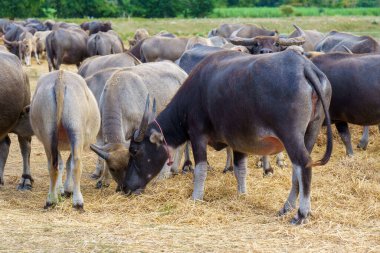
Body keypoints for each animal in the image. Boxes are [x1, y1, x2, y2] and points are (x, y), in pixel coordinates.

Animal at [29, 69, 100, 210]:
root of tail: (60, 77)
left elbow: (61, 164)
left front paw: (60, 189)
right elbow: (68, 163)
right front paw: (66, 189)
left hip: (48, 131)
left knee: (53, 165)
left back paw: (51, 200)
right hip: (76, 129)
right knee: (76, 163)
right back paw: (78, 201)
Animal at [89, 62, 190, 191]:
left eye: (128, 165)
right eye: (112, 168)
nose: (124, 187)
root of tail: (182, 72)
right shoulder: (101, 135)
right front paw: (103, 180)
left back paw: (170, 171)